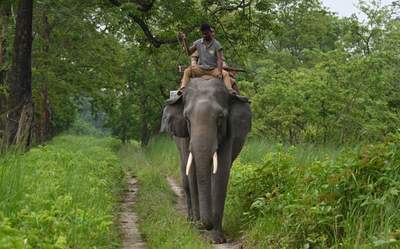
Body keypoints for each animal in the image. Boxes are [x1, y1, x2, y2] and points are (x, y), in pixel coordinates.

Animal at [159, 77, 250, 243]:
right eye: (186, 118)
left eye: (220, 118)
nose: (204, 224)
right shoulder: (186, 137)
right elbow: (193, 174)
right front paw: (199, 231)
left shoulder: (228, 134)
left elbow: (220, 174)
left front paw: (216, 239)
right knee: (185, 182)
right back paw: (190, 223)